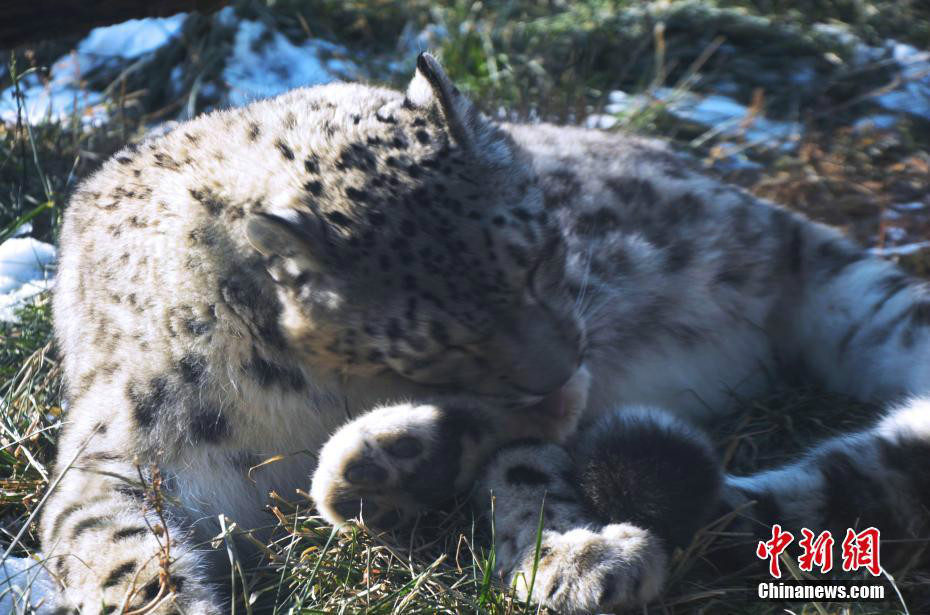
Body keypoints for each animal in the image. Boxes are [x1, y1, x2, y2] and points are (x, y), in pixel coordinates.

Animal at [45, 54, 928, 615]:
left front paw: (572, 554)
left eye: (539, 256)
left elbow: (530, 467)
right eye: (440, 340)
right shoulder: (123, 454)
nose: (565, 372)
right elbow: (115, 551)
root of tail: (759, 207)